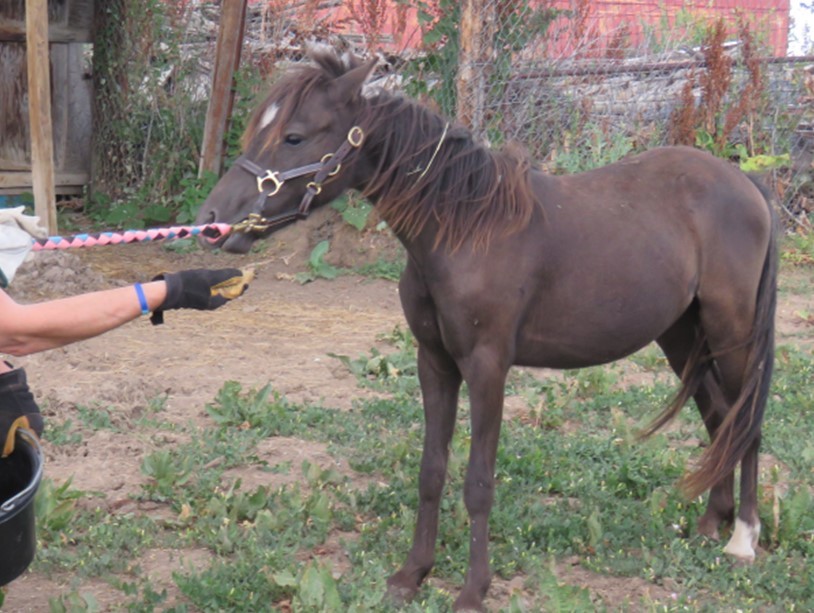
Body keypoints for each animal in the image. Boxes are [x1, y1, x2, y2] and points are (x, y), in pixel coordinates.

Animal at [195, 49, 777, 611]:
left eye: (293, 136)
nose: (213, 220)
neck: (465, 228)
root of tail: (745, 183)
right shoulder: (434, 362)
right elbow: (432, 470)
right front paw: (412, 575)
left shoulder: (487, 367)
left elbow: (478, 481)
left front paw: (473, 591)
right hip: (681, 336)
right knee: (720, 417)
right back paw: (713, 521)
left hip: (730, 332)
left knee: (746, 420)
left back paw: (743, 537)